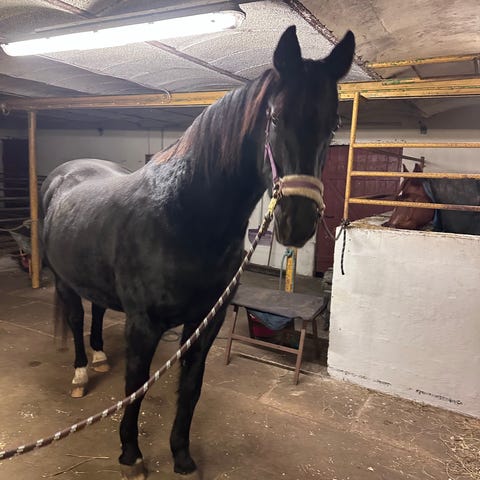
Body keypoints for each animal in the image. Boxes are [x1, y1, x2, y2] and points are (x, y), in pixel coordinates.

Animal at [40, 26, 355, 479]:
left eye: (333, 125)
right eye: (276, 118)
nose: (297, 222)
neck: (183, 218)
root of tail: (63, 174)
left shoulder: (206, 322)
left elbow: (190, 388)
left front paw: (183, 456)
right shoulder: (144, 325)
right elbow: (136, 387)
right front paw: (131, 454)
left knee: (96, 312)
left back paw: (99, 357)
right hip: (64, 281)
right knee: (76, 317)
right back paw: (82, 373)